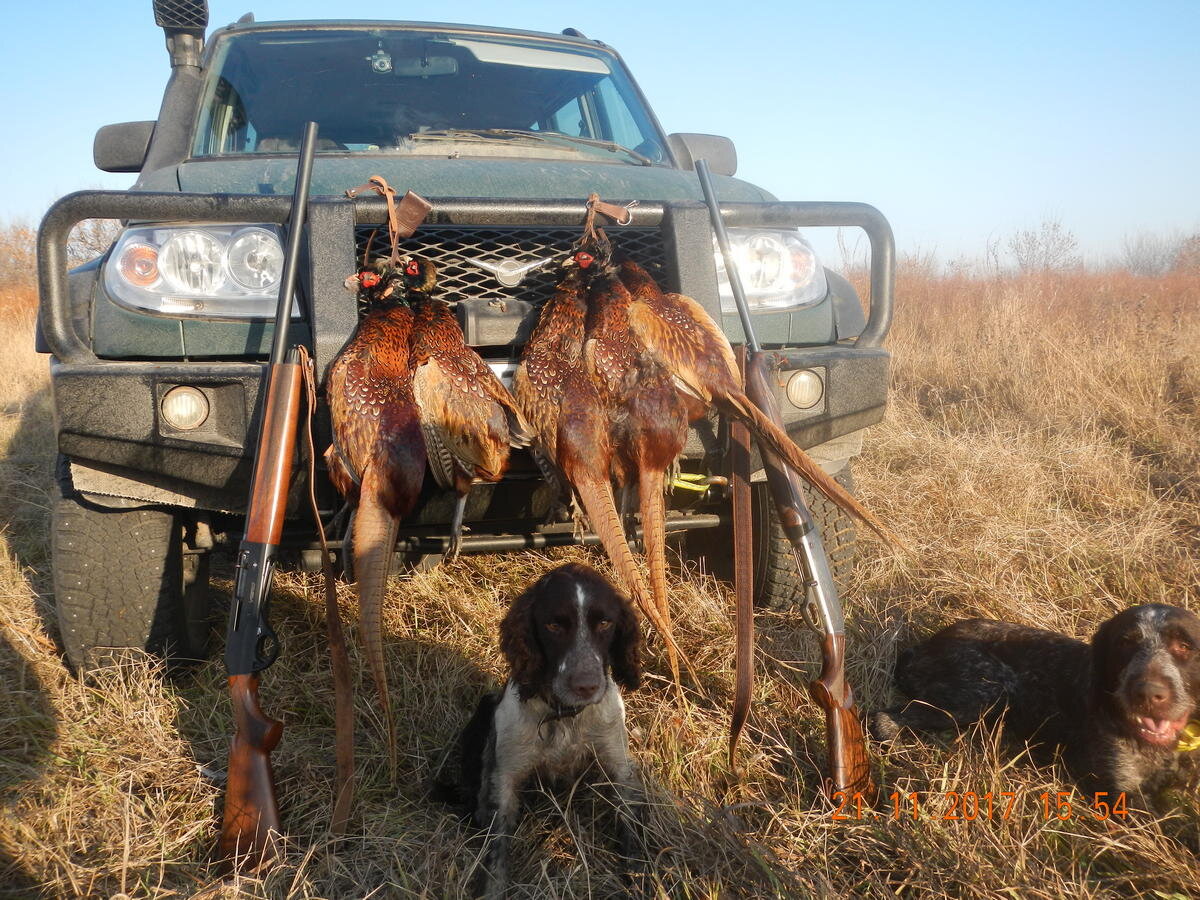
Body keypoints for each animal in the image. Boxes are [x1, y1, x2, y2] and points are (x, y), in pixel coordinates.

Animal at [441, 566, 648, 897]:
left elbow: (630, 827)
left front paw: (639, 880)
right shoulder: (505, 779)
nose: (587, 686)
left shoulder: (619, 768)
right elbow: (496, 851)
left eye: (605, 623)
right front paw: (491, 890)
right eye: (553, 625)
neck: (563, 716)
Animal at [873, 607, 1200, 801]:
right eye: (1124, 643)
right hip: (982, 694)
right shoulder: (1119, 795)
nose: (1147, 693)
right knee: (884, 717)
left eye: (1185, 646)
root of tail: (922, 647)